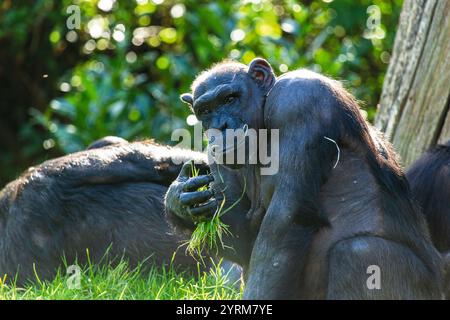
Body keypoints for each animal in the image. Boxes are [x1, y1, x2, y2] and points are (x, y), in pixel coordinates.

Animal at [167, 58, 444, 300]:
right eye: (205, 111)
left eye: (230, 98)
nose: (221, 126)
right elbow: (246, 240)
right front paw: (179, 200)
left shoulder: (300, 101)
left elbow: (285, 219)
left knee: (359, 254)